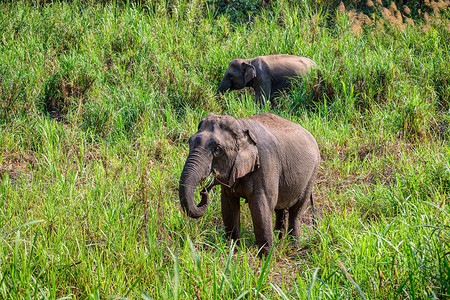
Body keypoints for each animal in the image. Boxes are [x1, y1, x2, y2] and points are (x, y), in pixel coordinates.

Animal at [179, 112, 320, 255]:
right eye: (189, 141)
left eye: (217, 148)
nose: (204, 190)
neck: (240, 125)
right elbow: (228, 206)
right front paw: (234, 250)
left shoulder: (266, 164)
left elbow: (261, 207)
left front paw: (266, 257)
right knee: (280, 210)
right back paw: (280, 242)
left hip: (312, 174)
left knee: (296, 211)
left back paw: (293, 247)